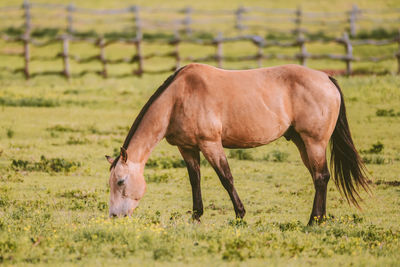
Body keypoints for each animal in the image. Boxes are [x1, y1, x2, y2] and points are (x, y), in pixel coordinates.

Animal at [104, 63, 370, 226]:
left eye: (121, 181)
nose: (115, 216)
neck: (178, 98)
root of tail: (326, 78)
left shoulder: (211, 144)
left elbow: (226, 178)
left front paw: (240, 215)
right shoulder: (187, 148)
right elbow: (195, 180)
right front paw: (196, 217)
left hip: (314, 142)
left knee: (321, 176)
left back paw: (314, 221)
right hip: (301, 143)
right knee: (318, 177)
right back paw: (318, 219)